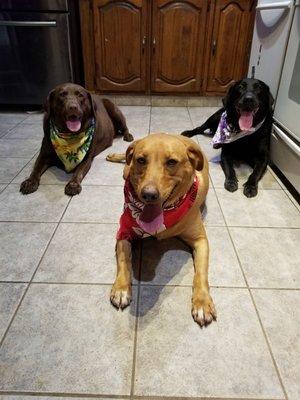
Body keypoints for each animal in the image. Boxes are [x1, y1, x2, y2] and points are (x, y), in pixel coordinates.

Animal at [106, 134, 217, 328]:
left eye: (172, 162)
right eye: (141, 160)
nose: (148, 195)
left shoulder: (201, 240)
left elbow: (201, 274)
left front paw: (202, 303)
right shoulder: (124, 231)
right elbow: (123, 260)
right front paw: (121, 288)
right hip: (127, 169)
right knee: (125, 164)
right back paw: (114, 155)